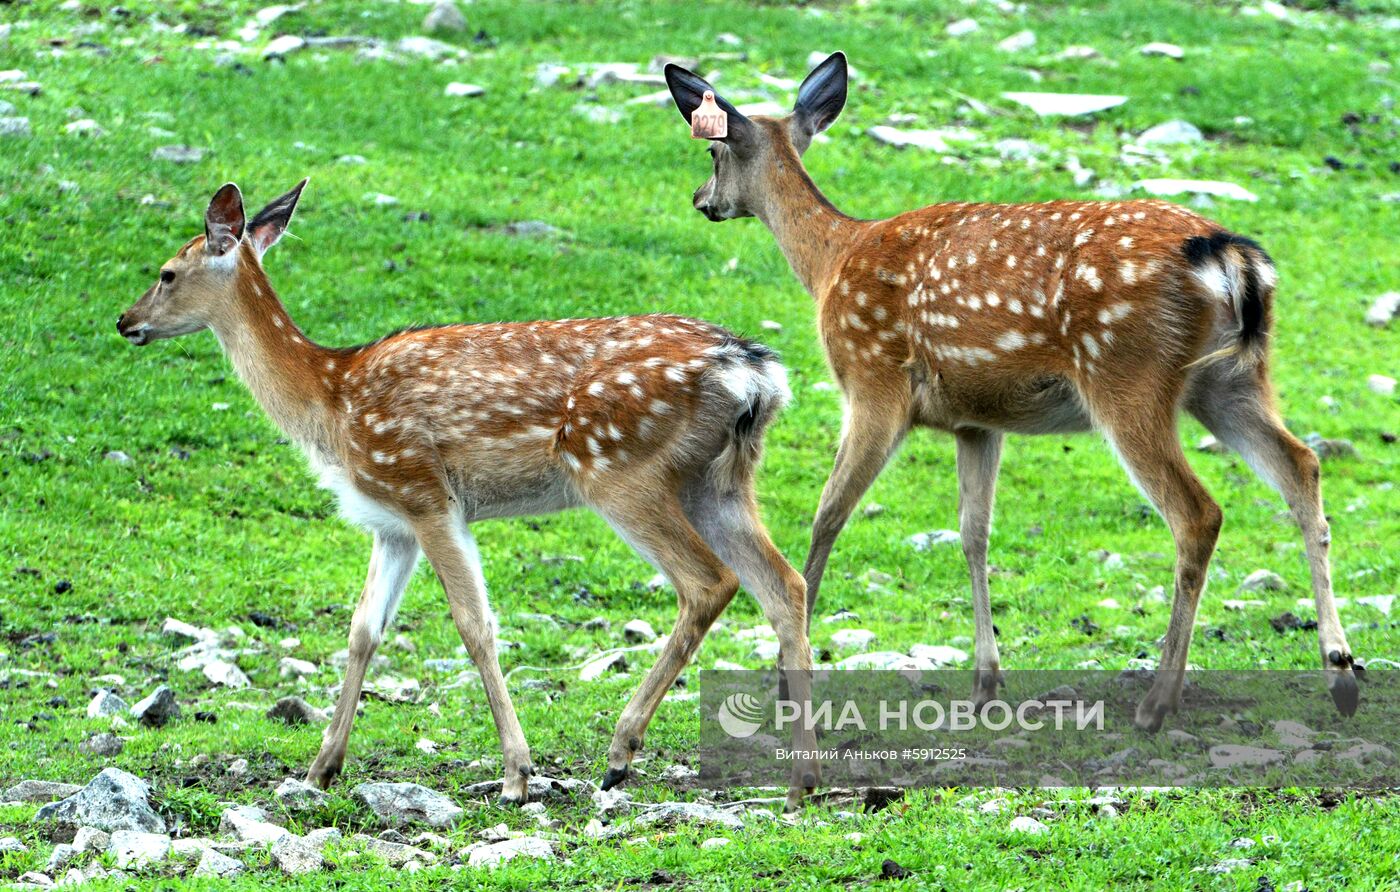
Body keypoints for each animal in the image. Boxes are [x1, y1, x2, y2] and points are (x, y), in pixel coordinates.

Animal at [120, 180, 823, 806]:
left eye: (166, 273)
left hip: (619, 469)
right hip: (720, 480)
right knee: (785, 583)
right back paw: (802, 782)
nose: (125, 320)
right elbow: (363, 630)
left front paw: (517, 774)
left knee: (709, 583)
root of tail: (755, 373)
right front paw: (320, 769)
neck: (330, 403)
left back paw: (621, 754)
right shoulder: (391, 522)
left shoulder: (425, 492)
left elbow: (474, 623)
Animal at [660, 52, 1360, 728]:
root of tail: (1230, 257)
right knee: (1301, 464)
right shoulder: (977, 420)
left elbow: (828, 513)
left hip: (1128, 376)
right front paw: (986, 679)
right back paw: (1339, 670)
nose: (698, 198)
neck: (830, 260)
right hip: (1230, 379)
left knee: (1199, 512)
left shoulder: (872, 384)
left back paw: (1160, 701)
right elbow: (974, 532)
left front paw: (786, 676)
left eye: (713, 152)